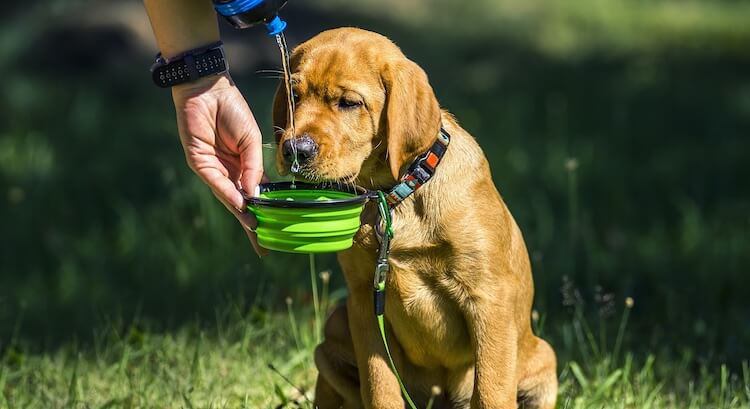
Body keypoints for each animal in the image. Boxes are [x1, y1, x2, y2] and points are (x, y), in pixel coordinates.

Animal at [274, 27, 556, 406]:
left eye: (349, 103)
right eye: (294, 95)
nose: (295, 150)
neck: (395, 197)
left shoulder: (489, 300)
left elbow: (491, 390)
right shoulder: (364, 302)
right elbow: (379, 387)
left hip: (543, 358)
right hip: (335, 327)